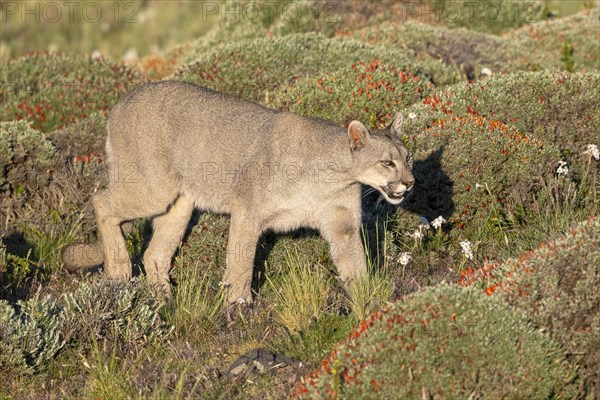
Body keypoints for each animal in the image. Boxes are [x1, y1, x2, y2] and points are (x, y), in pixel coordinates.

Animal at [63, 82, 414, 306]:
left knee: (154, 253)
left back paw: (163, 301)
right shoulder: (248, 209)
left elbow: (354, 262)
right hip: (153, 188)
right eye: (387, 162)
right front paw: (239, 305)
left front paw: (368, 300)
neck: (332, 176)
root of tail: (122, 101)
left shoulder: (341, 224)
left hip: (180, 202)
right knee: (101, 202)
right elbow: (241, 260)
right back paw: (120, 272)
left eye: (408, 157)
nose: (410, 183)